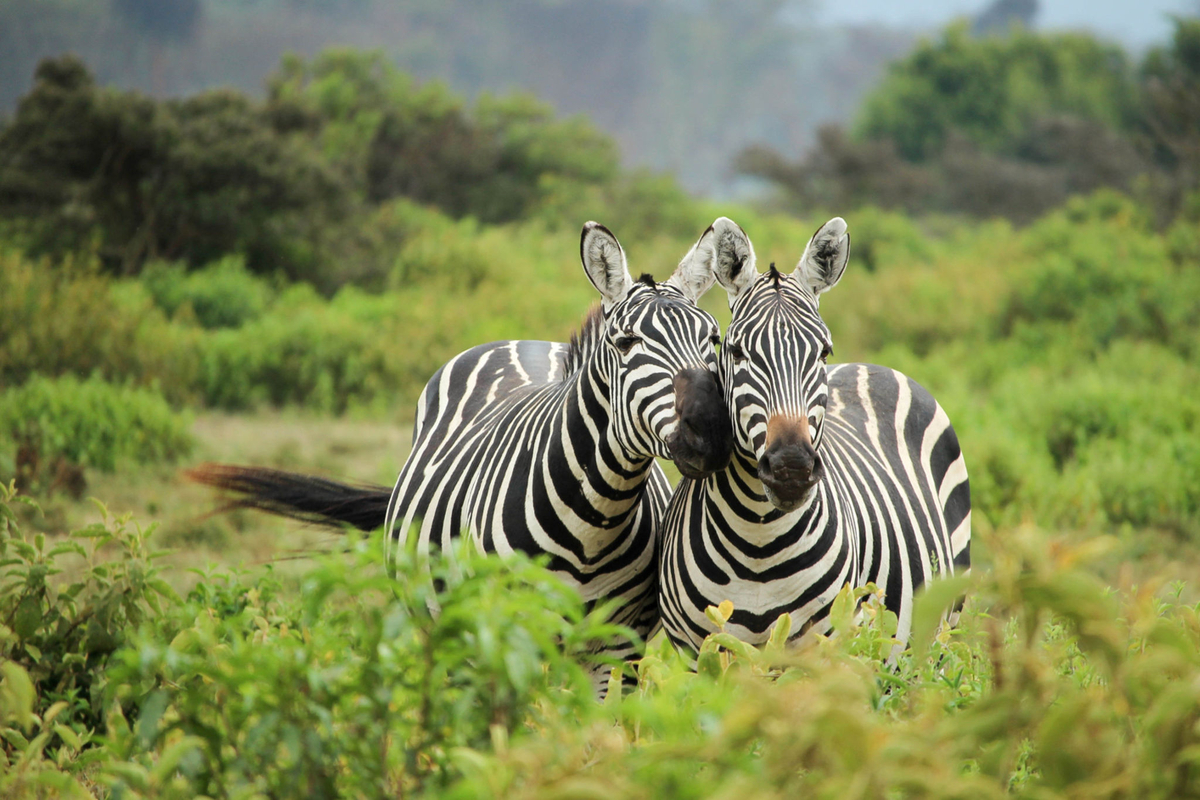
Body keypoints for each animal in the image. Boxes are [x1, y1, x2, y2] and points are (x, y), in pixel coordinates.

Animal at [188, 221, 734, 686]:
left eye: (713, 338)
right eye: (625, 343)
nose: (711, 431)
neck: (593, 522)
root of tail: (520, 340)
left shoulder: (616, 647)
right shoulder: (500, 632)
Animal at [662, 217, 969, 657]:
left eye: (823, 352)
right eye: (736, 351)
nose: (791, 468)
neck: (757, 541)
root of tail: (869, 365)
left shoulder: (824, 651)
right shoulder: (697, 654)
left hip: (943, 628)